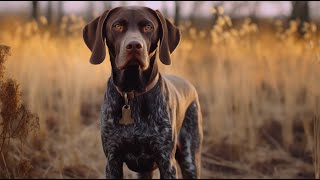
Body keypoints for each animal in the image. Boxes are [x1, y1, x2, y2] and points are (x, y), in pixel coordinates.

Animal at [82, 5, 202, 179]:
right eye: (117, 26)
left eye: (148, 27)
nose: (134, 45)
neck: (132, 93)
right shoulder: (113, 160)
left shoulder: (167, 162)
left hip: (190, 158)